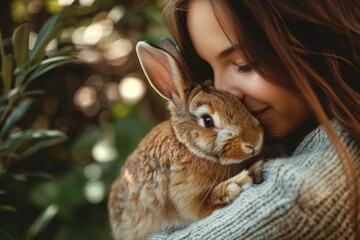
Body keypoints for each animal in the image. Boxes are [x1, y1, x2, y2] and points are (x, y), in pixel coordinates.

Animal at [108, 41, 262, 240]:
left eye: (239, 102)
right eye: (207, 120)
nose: (255, 142)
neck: (187, 146)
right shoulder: (184, 195)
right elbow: (201, 206)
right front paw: (239, 182)